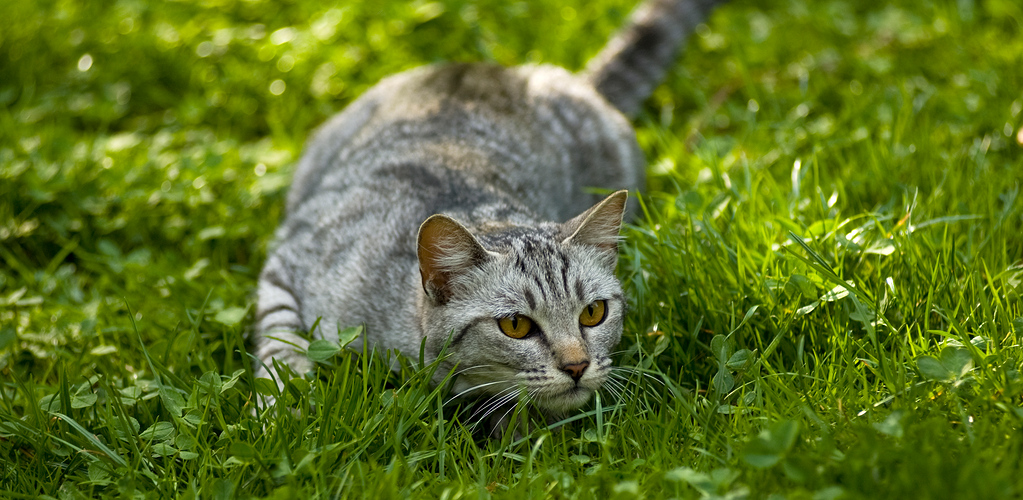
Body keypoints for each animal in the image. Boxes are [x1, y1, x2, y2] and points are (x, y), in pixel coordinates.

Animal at [251, 0, 724, 425]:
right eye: (515, 325)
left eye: (593, 313)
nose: (577, 366)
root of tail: (562, 78)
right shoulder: (289, 257)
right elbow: (279, 342)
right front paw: (282, 409)